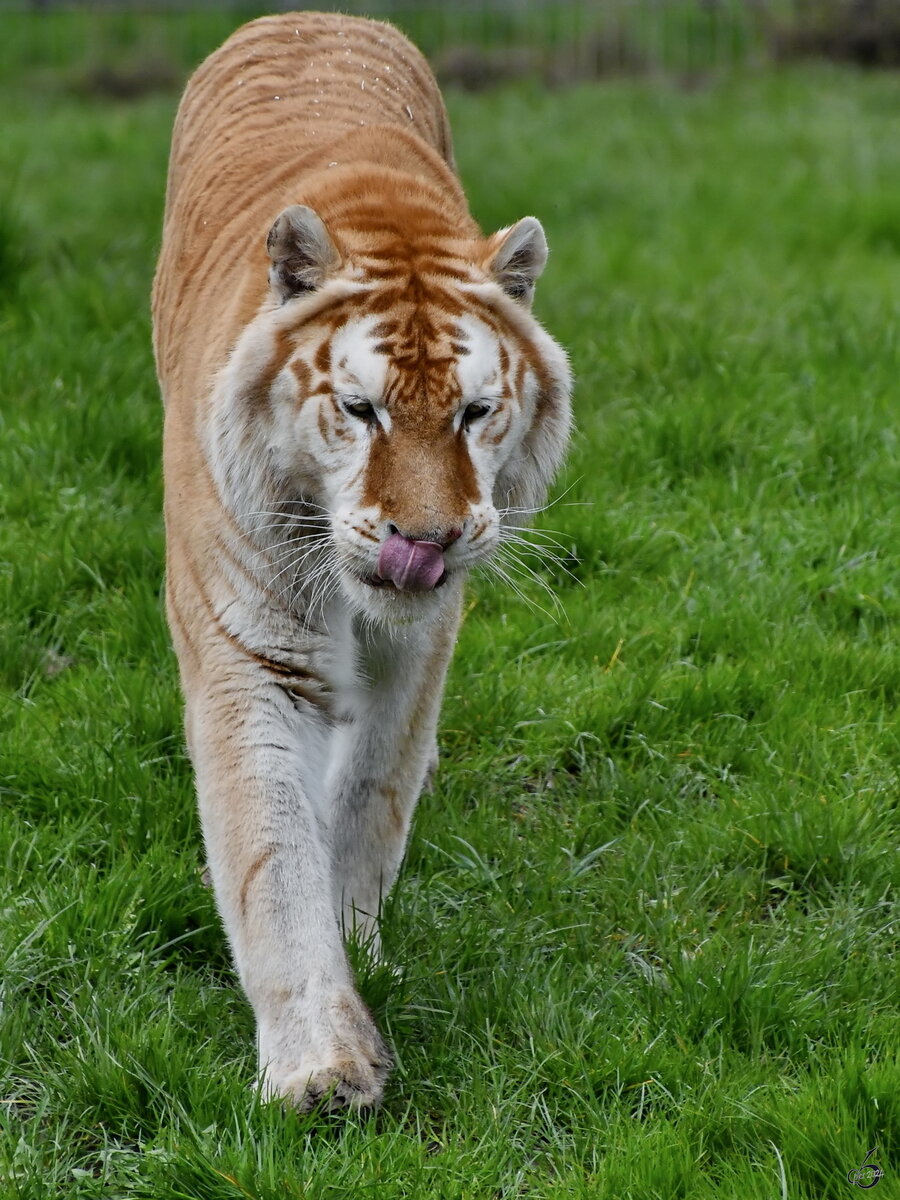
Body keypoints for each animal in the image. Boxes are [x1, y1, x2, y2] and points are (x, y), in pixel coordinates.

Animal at [148, 11, 571, 1113]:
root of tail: (307, 14)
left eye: (474, 411)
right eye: (360, 408)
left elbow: (370, 794)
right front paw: (322, 1066)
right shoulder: (251, 647)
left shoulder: (417, 646)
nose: (424, 541)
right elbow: (269, 847)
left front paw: (357, 938)